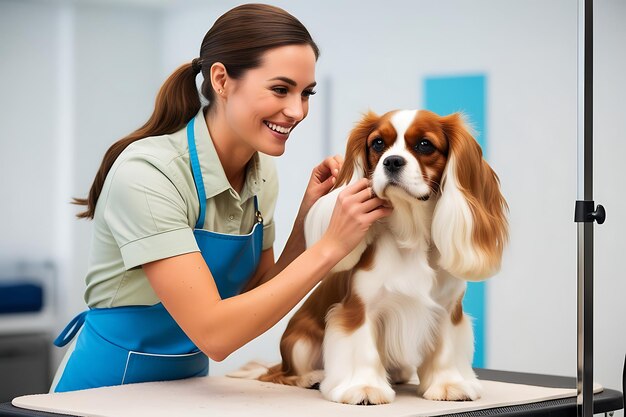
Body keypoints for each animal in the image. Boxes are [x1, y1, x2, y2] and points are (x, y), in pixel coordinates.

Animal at [232, 109, 504, 404]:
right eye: (378, 144)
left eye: (425, 145)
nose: (392, 161)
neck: (411, 234)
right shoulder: (358, 309)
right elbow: (363, 350)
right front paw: (364, 388)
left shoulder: (448, 311)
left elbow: (445, 350)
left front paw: (448, 384)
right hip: (299, 342)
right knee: (285, 374)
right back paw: (312, 378)